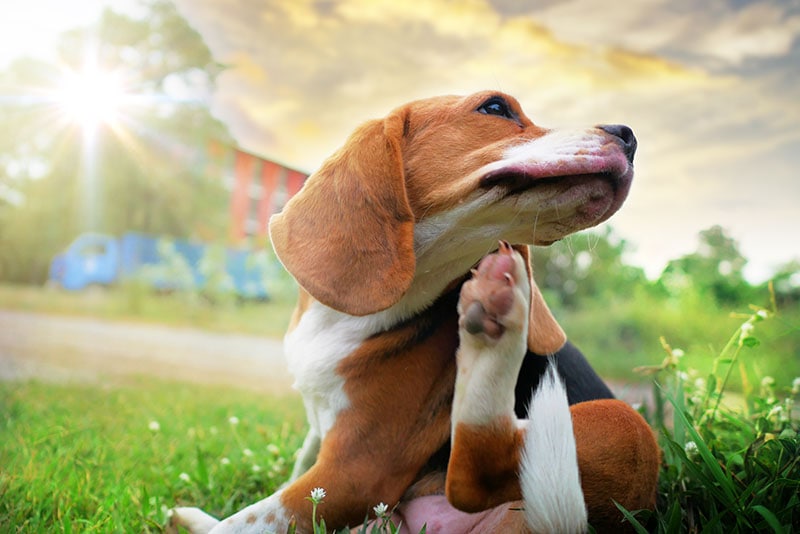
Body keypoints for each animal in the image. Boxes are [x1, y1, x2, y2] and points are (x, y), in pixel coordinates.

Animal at [172, 90, 660, 532]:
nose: (630, 136)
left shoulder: (354, 473)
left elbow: (244, 522)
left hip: (626, 423)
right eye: (496, 107)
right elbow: (291, 473)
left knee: (475, 477)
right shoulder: (320, 443)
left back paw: (497, 333)